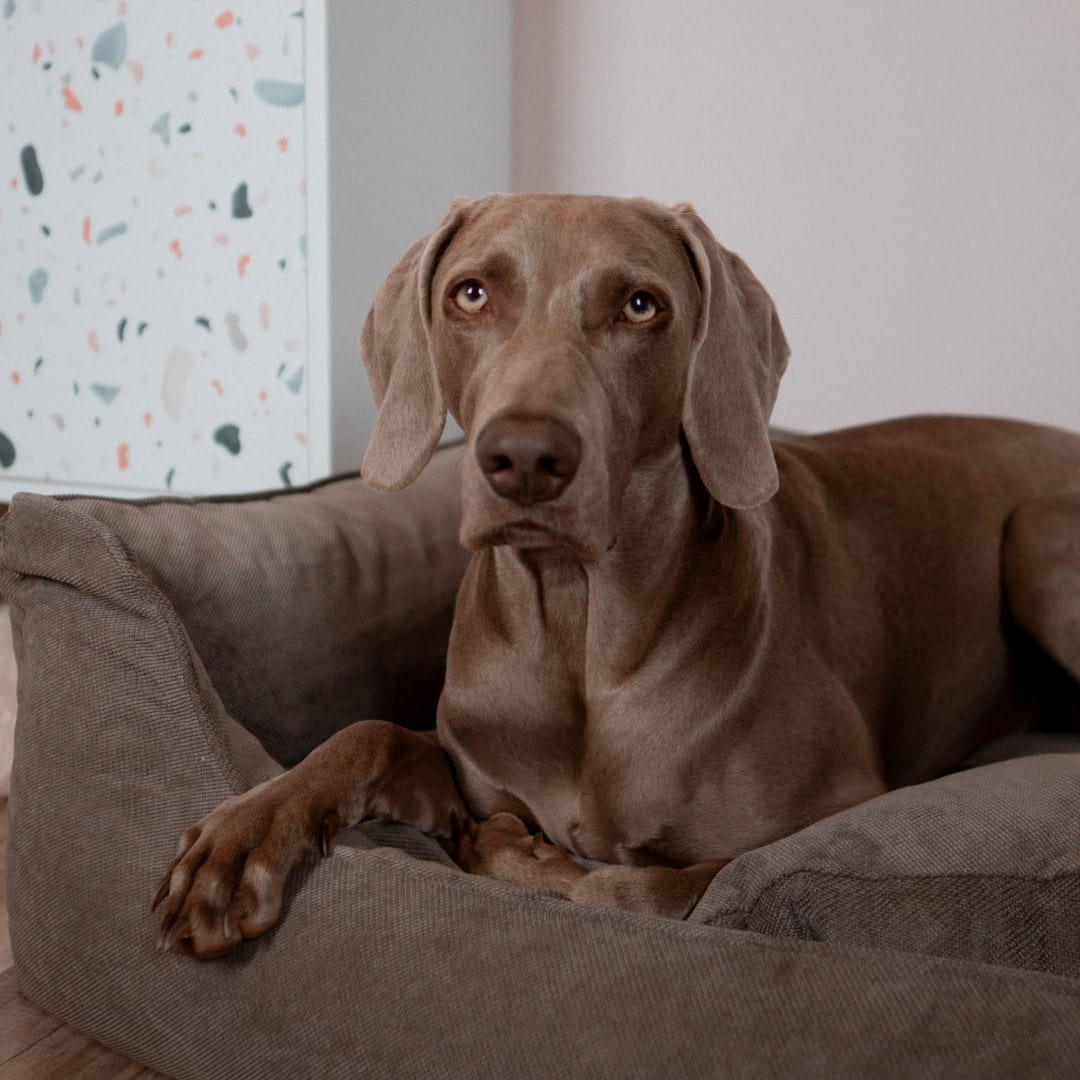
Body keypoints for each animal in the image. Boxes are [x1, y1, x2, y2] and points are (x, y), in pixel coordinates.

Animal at [154, 193, 1080, 958]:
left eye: (641, 305)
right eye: (471, 294)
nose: (525, 458)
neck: (578, 626)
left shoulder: (827, 813)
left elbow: (637, 886)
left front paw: (525, 852)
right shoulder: (470, 760)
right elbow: (368, 734)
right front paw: (243, 837)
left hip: (1035, 534)